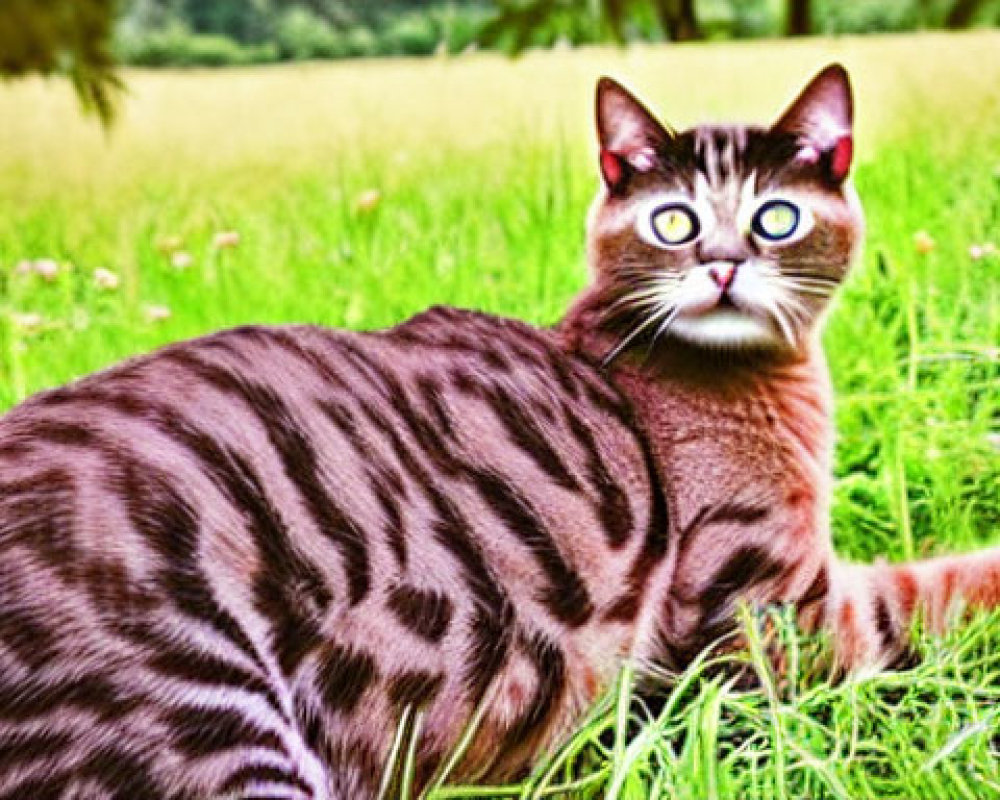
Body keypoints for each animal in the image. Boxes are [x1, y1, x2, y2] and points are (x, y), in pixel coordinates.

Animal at [1, 64, 1000, 800]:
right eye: (673, 220)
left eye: (775, 217)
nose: (721, 265)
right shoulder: (772, 620)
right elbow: (940, 591)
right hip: (201, 715)